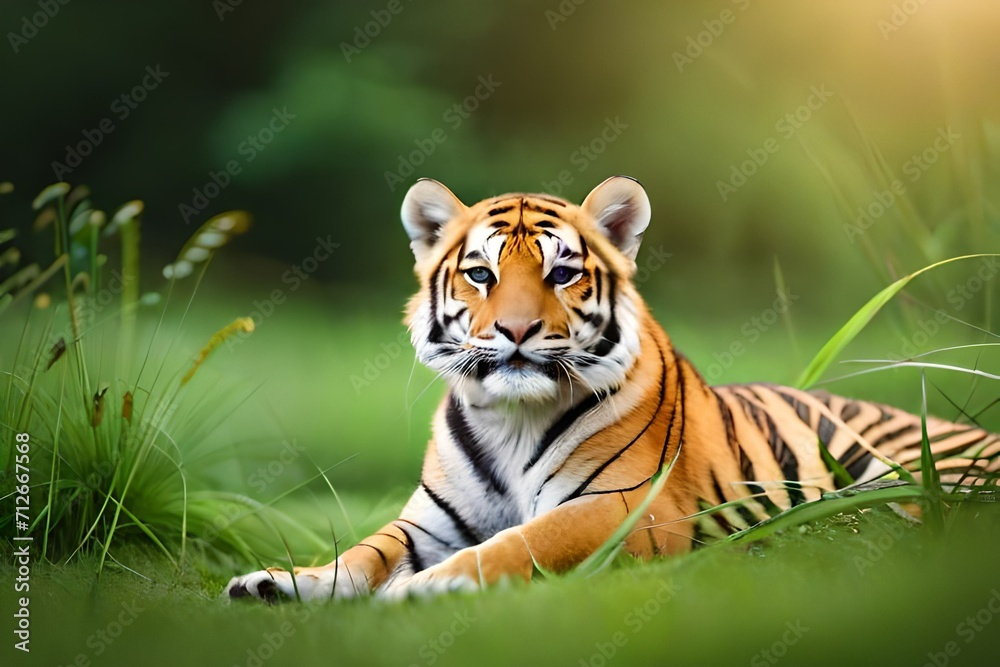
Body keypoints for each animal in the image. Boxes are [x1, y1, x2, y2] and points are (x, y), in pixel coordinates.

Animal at [227, 175, 1000, 603]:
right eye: (480, 274)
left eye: (562, 273)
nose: (515, 329)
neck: (509, 417)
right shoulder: (431, 522)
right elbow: (364, 552)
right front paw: (285, 583)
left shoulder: (627, 507)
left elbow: (523, 541)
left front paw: (427, 586)